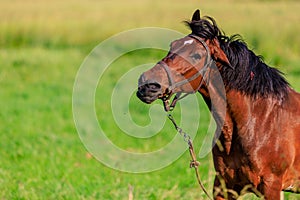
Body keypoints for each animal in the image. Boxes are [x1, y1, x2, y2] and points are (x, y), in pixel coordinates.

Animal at [137, 9, 300, 198]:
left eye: (196, 55)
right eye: (172, 45)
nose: (147, 84)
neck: (260, 121)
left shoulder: (271, 187)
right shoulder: (224, 187)